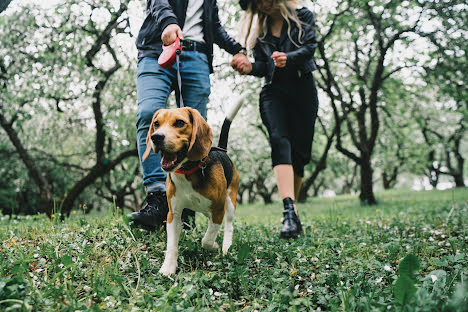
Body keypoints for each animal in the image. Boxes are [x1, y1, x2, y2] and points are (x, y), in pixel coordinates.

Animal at [142, 100, 245, 276]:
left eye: (179, 123)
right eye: (156, 124)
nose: (156, 137)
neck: (188, 171)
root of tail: (223, 151)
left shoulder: (219, 209)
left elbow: (207, 240)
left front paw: (214, 246)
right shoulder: (173, 214)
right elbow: (172, 245)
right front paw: (168, 267)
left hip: (230, 201)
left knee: (229, 226)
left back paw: (226, 246)